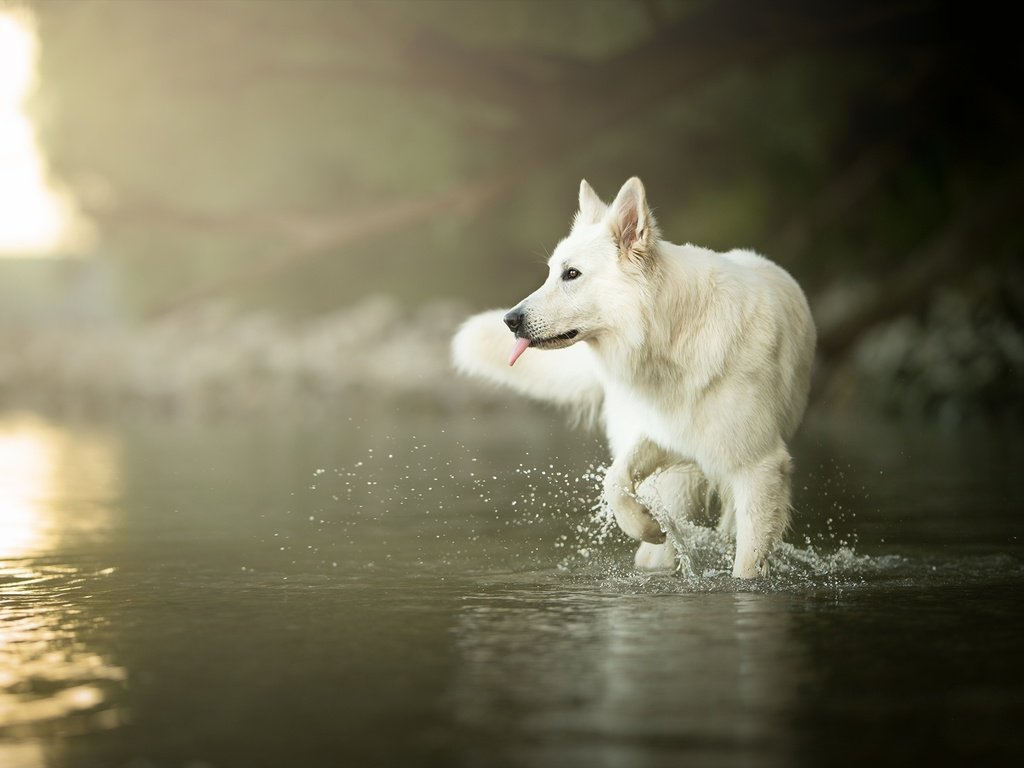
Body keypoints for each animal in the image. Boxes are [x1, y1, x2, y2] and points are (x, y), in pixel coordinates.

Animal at [454, 179, 815, 577]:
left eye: (571, 274)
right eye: (551, 273)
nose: (510, 320)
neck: (674, 337)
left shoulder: (759, 468)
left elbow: (747, 563)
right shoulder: (665, 432)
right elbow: (614, 479)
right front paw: (647, 525)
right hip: (674, 475)